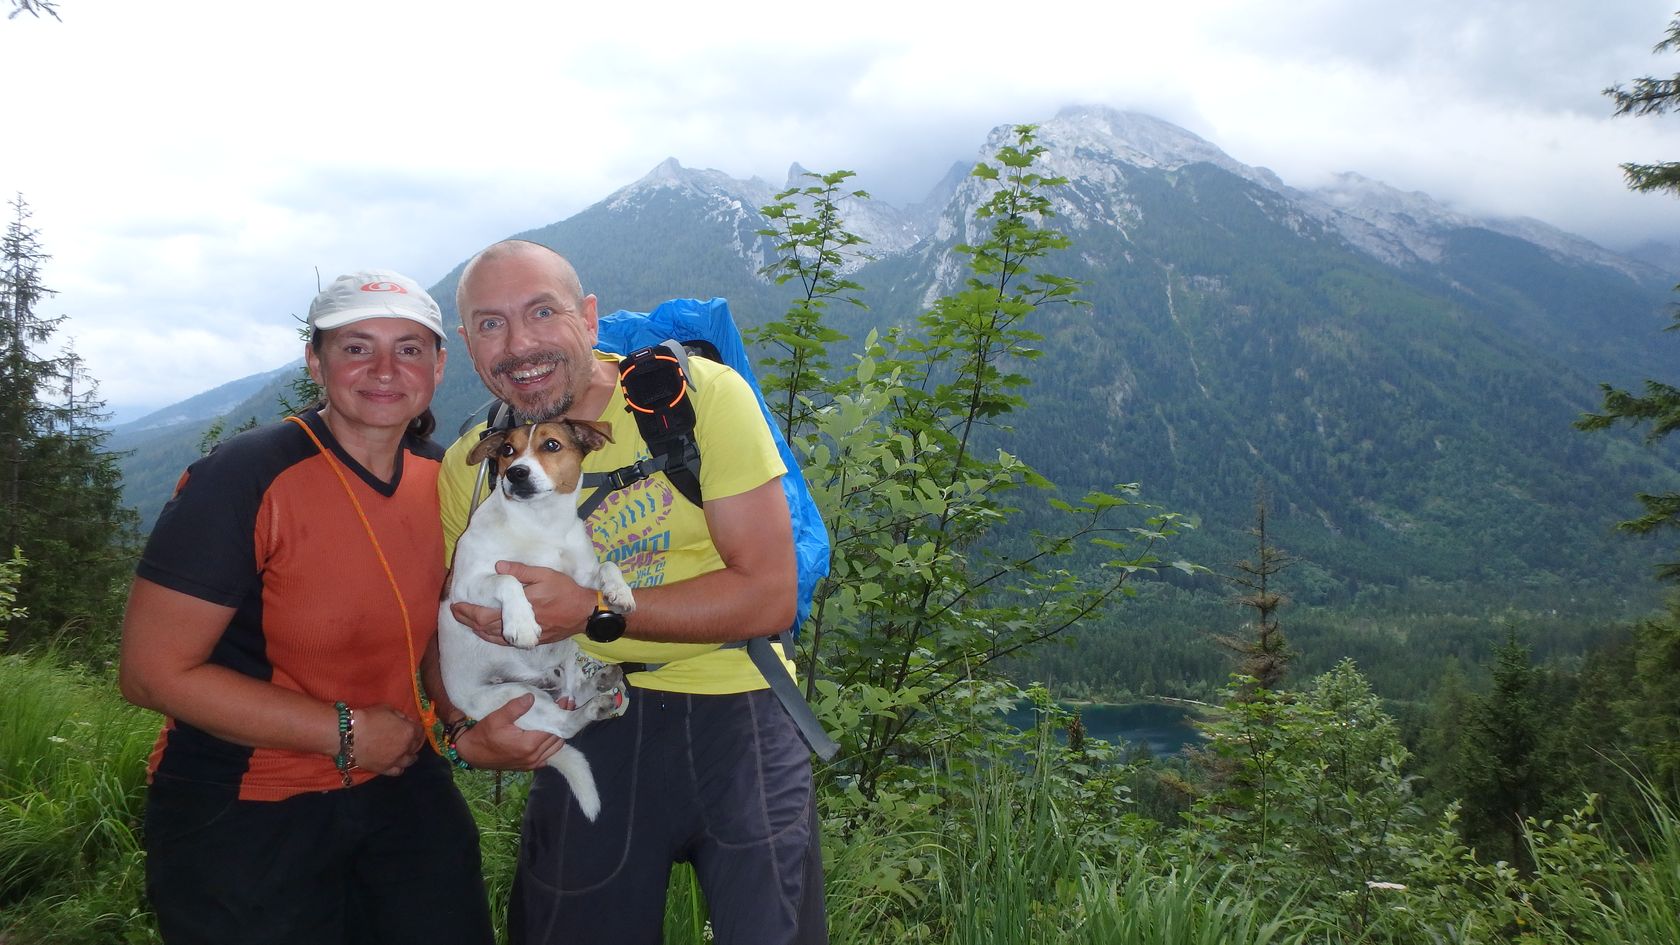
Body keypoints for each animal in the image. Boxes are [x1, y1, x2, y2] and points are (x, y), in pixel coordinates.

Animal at [438, 419, 634, 821]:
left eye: (552, 445)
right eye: (507, 451)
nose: (516, 473)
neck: (542, 526)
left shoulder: (580, 582)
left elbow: (607, 566)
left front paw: (620, 591)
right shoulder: (466, 589)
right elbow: (507, 579)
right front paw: (522, 624)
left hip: (567, 655)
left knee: (572, 692)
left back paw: (598, 684)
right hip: (516, 697)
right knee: (563, 724)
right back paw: (595, 705)